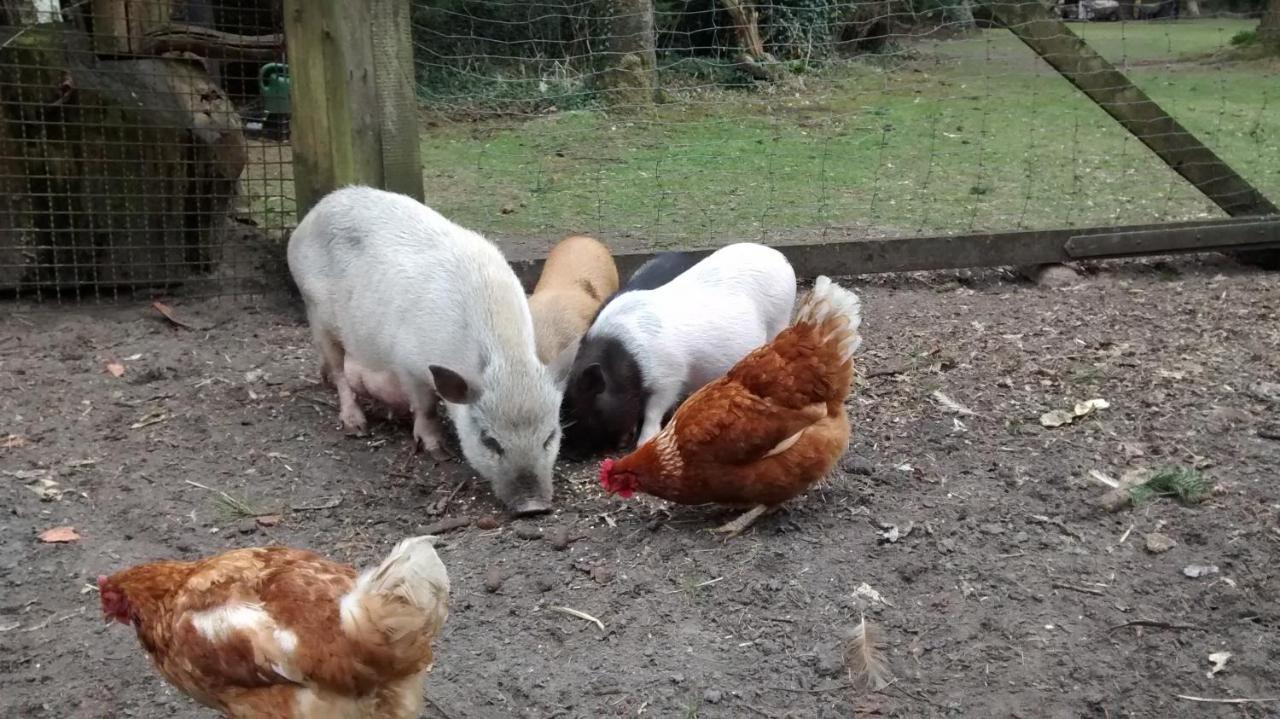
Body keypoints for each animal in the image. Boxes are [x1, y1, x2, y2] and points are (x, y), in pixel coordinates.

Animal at [290, 184, 576, 509]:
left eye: (549, 436)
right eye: (489, 440)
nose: (533, 507)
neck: (504, 360)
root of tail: (313, 214)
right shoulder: (408, 365)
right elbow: (425, 407)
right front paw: (439, 451)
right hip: (316, 312)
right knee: (339, 373)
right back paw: (357, 427)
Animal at [565, 243, 793, 450]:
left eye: (579, 411)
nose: (571, 454)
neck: (624, 362)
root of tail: (780, 257)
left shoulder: (669, 377)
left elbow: (653, 411)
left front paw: (642, 443)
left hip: (779, 319)